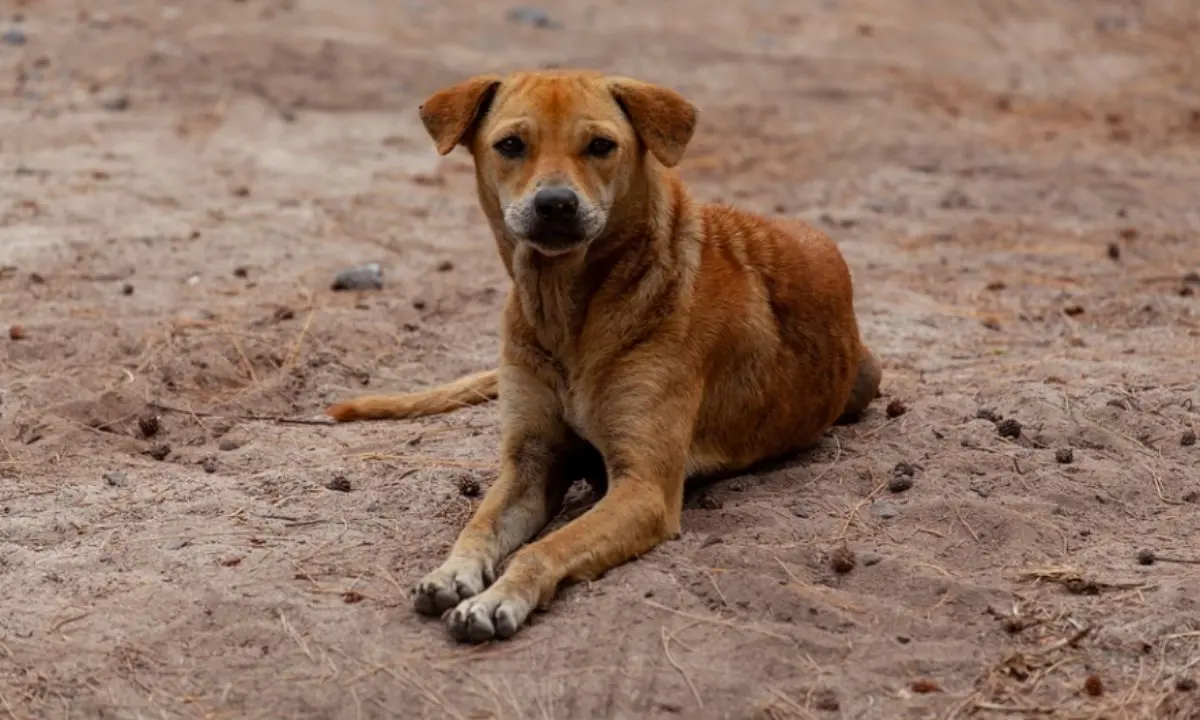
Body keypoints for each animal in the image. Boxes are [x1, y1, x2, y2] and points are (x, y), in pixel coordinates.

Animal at [328, 70, 883, 643]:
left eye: (600, 146)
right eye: (511, 145)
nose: (555, 203)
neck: (566, 311)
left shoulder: (643, 488)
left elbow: (543, 548)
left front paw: (498, 597)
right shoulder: (530, 462)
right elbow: (478, 524)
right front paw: (452, 572)